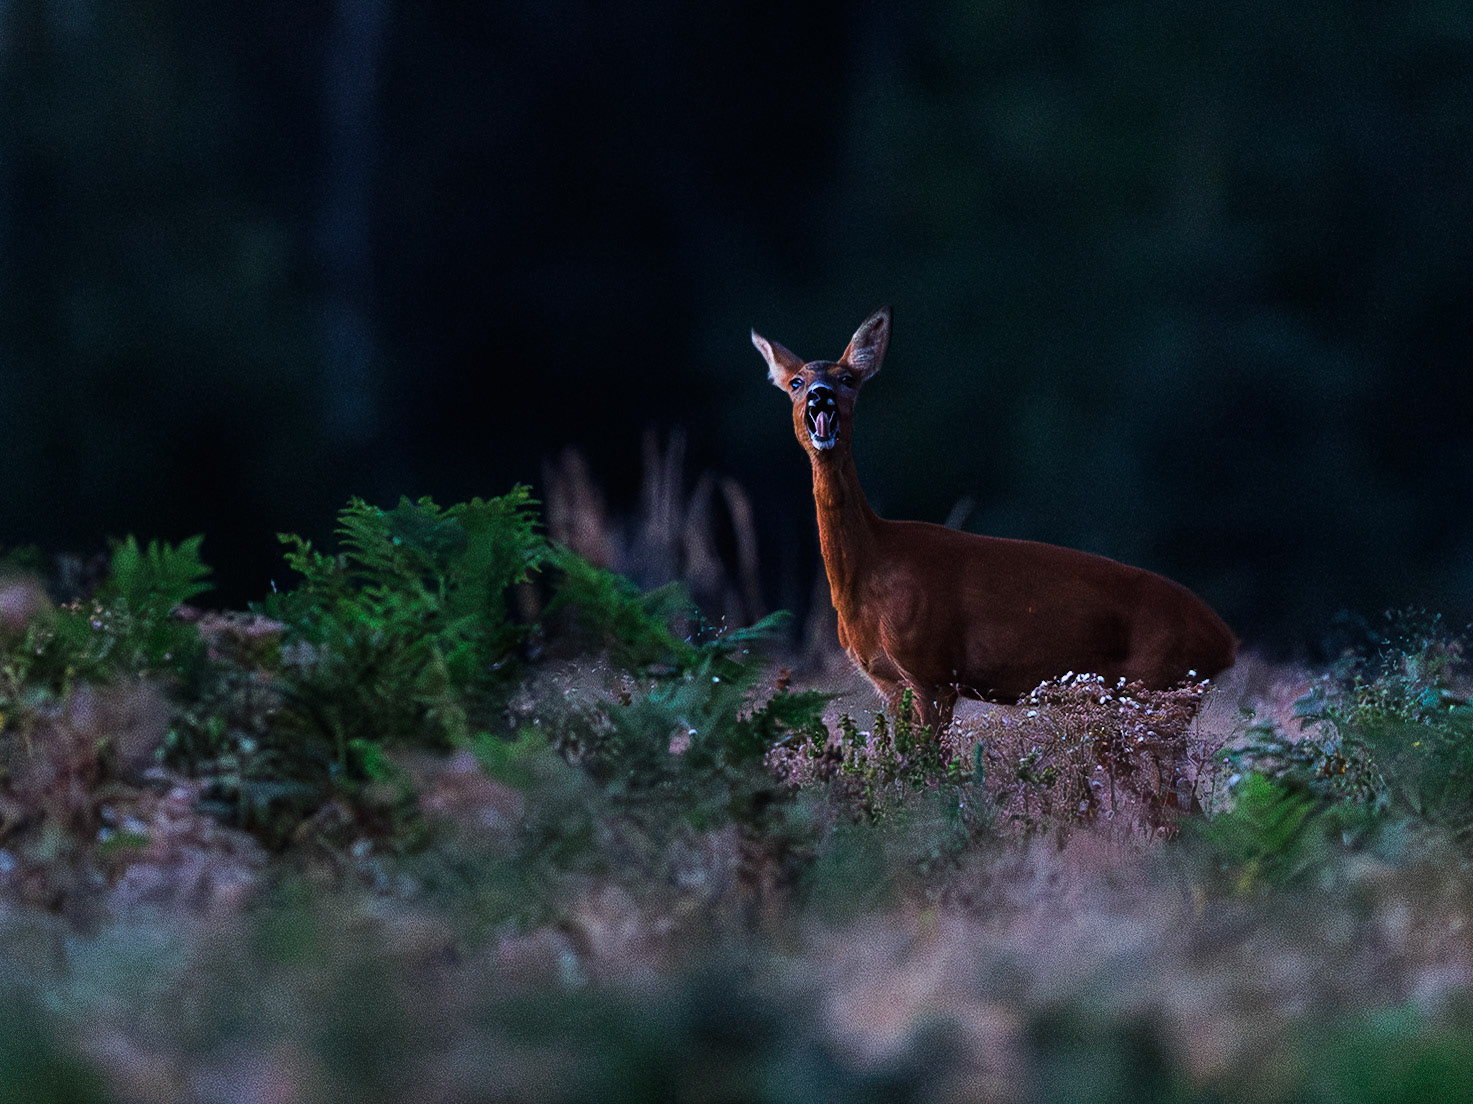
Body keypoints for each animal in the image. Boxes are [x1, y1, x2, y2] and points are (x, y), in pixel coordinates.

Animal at [752, 306, 1237, 734]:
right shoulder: (889, 684)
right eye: (796, 382)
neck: (870, 566)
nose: (820, 394)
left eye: (847, 378)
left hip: (1159, 690)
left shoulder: (933, 671)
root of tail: (1226, 642)